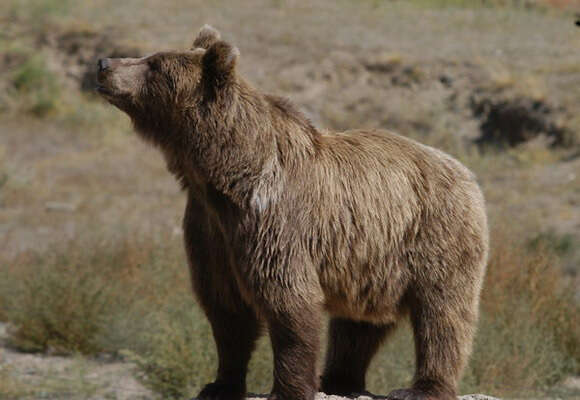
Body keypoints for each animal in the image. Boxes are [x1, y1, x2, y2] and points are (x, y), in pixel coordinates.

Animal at [97, 25, 488, 400]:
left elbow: (289, 300)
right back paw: (339, 379)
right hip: (371, 262)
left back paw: (422, 387)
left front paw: (288, 388)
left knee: (443, 315)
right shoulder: (209, 228)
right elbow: (225, 309)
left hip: (436, 236)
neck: (219, 174)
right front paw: (219, 384)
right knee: (359, 324)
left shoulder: (273, 220)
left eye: (155, 64)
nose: (104, 63)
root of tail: (465, 173)